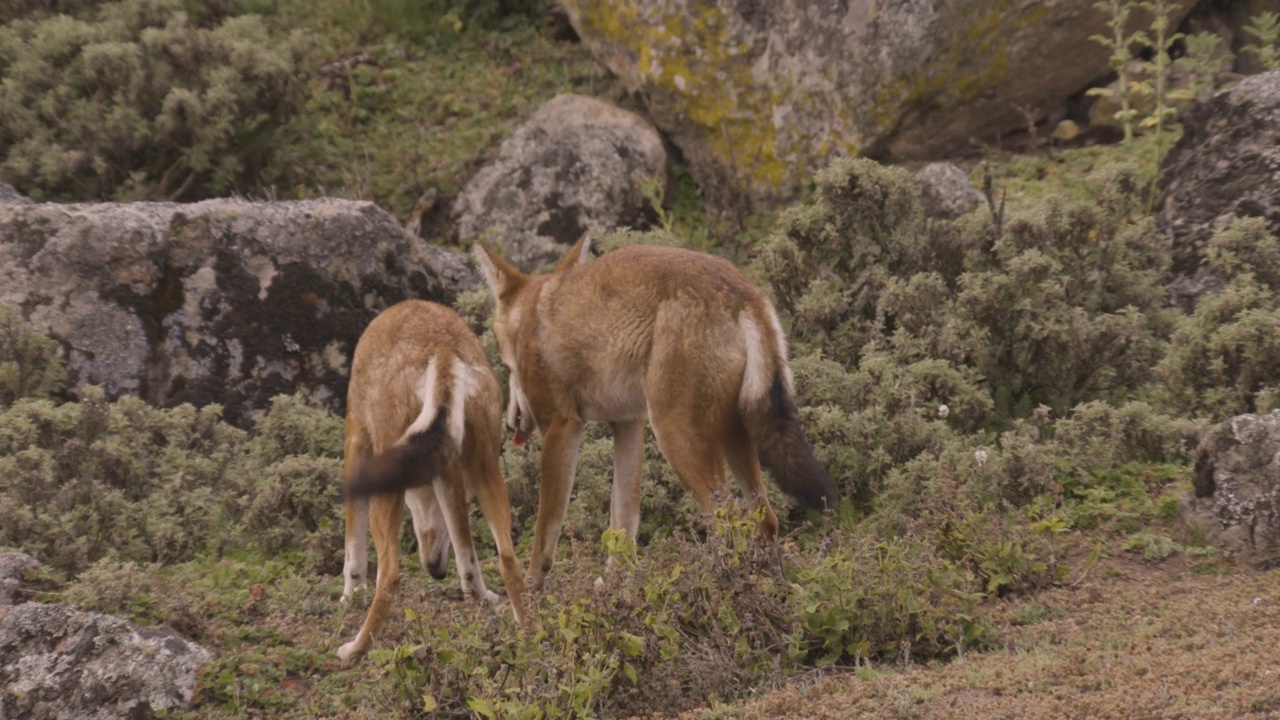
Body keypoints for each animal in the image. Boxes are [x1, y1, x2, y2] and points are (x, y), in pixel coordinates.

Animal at [337, 298, 527, 661]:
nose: (436, 570)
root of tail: (442, 350)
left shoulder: (355, 441)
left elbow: (353, 551)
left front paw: (350, 595)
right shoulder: (450, 482)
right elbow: (467, 554)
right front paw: (479, 596)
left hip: (386, 491)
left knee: (390, 575)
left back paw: (355, 648)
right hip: (486, 472)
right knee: (508, 559)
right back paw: (532, 635)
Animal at [476, 237, 834, 589]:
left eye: (502, 357)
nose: (509, 423)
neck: (530, 317)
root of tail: (745, 293)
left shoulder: (562, 427)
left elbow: (545, 527)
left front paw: (532, 592)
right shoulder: (628, 423)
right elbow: (622, 522)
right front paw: (618, 586)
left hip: (675, 437)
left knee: (732, 526)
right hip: (732, 437)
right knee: (766, 521)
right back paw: (776, 591)